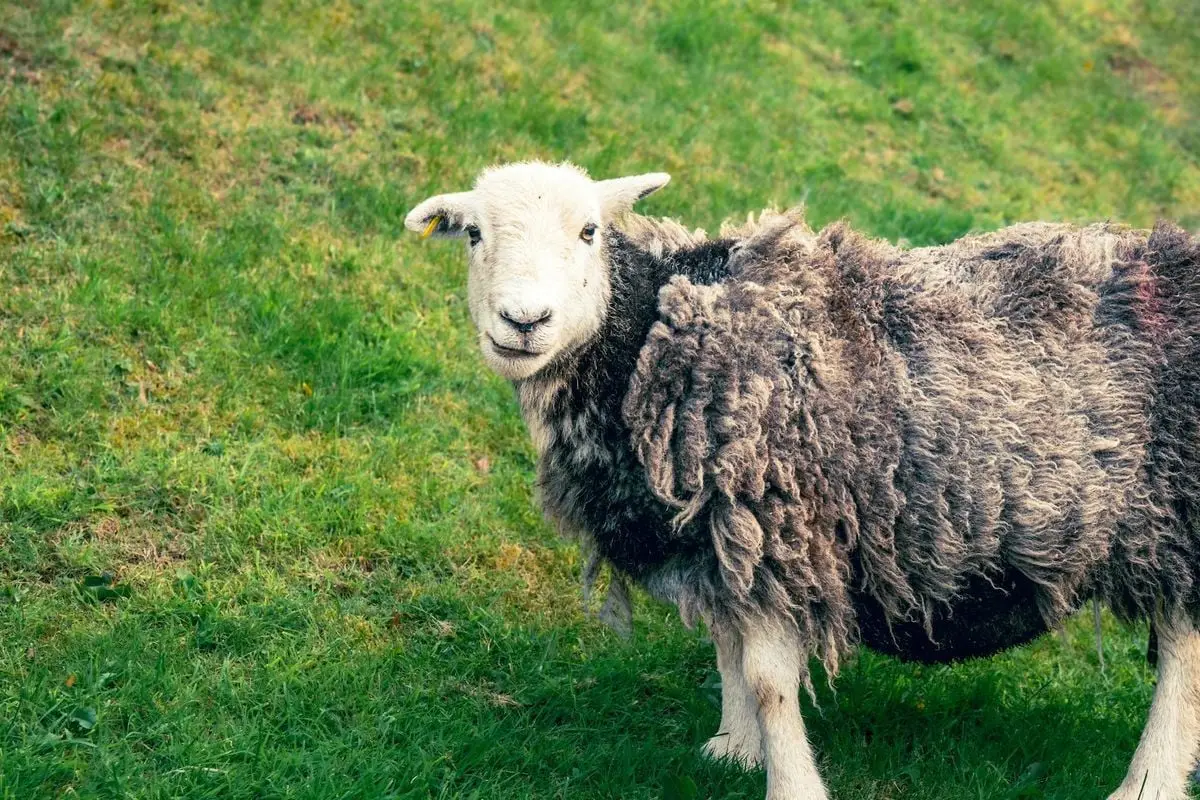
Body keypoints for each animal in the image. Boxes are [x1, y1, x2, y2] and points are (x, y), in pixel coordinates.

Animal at [406, 160, 1200, 800]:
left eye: (589, 231)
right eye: (472, 234)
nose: (524, 320)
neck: (656, 334)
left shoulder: (775, 522)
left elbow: (768, 680)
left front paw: (790, 782)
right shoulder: (717, 538)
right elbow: (727, 643)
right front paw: (732, 749)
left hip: (1175, 511)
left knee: (1183, 657)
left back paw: (1147, 783)